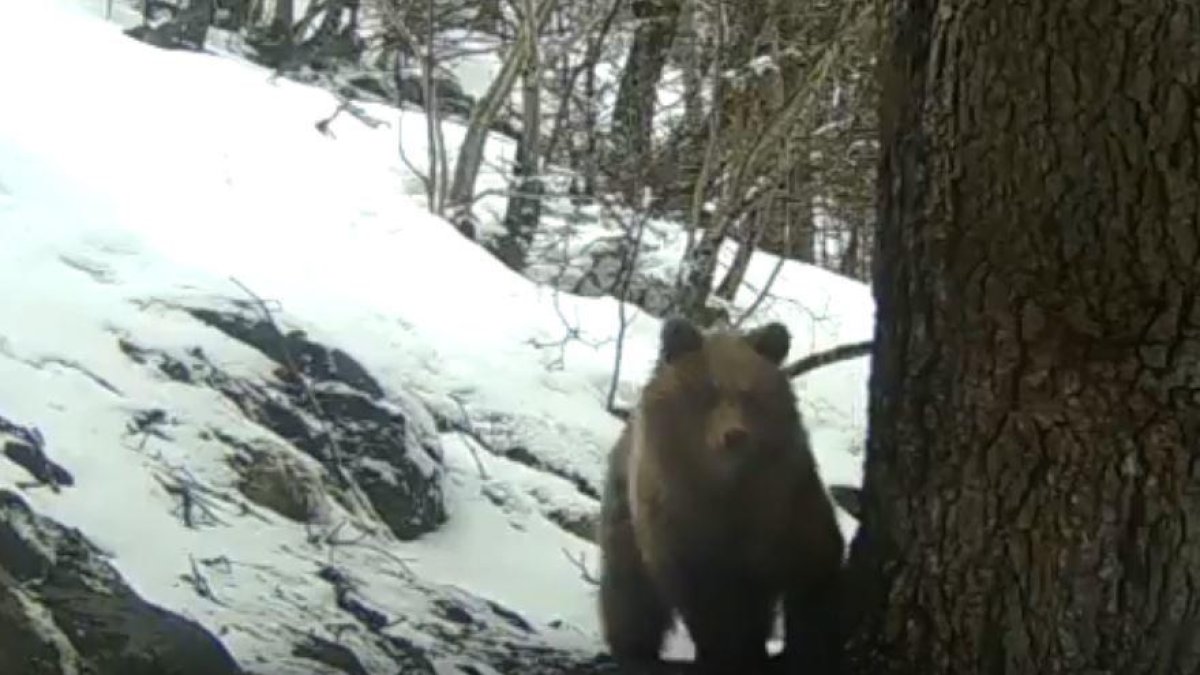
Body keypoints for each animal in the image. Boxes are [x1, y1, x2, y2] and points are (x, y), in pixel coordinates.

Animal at [597, 317, 844, 672]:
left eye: (749, 394)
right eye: (708, 391)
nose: (734, 434)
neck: (725, 485)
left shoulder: (784, 503)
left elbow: (813, 569)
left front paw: (807, 647)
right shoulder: (681, 522)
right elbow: (704, 602)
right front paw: (727, 653)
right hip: (623, 517)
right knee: (628, 591)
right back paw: (634, 649)